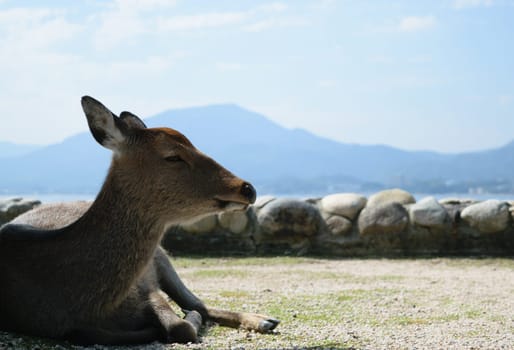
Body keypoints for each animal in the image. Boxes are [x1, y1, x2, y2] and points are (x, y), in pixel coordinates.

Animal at [0, 95, 278, 344]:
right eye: (173, 156)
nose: (247, 188)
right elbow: (178, 326)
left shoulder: (146, 285)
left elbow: (181, 324)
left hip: (162, 257)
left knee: (200, 303)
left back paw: (265, 320)